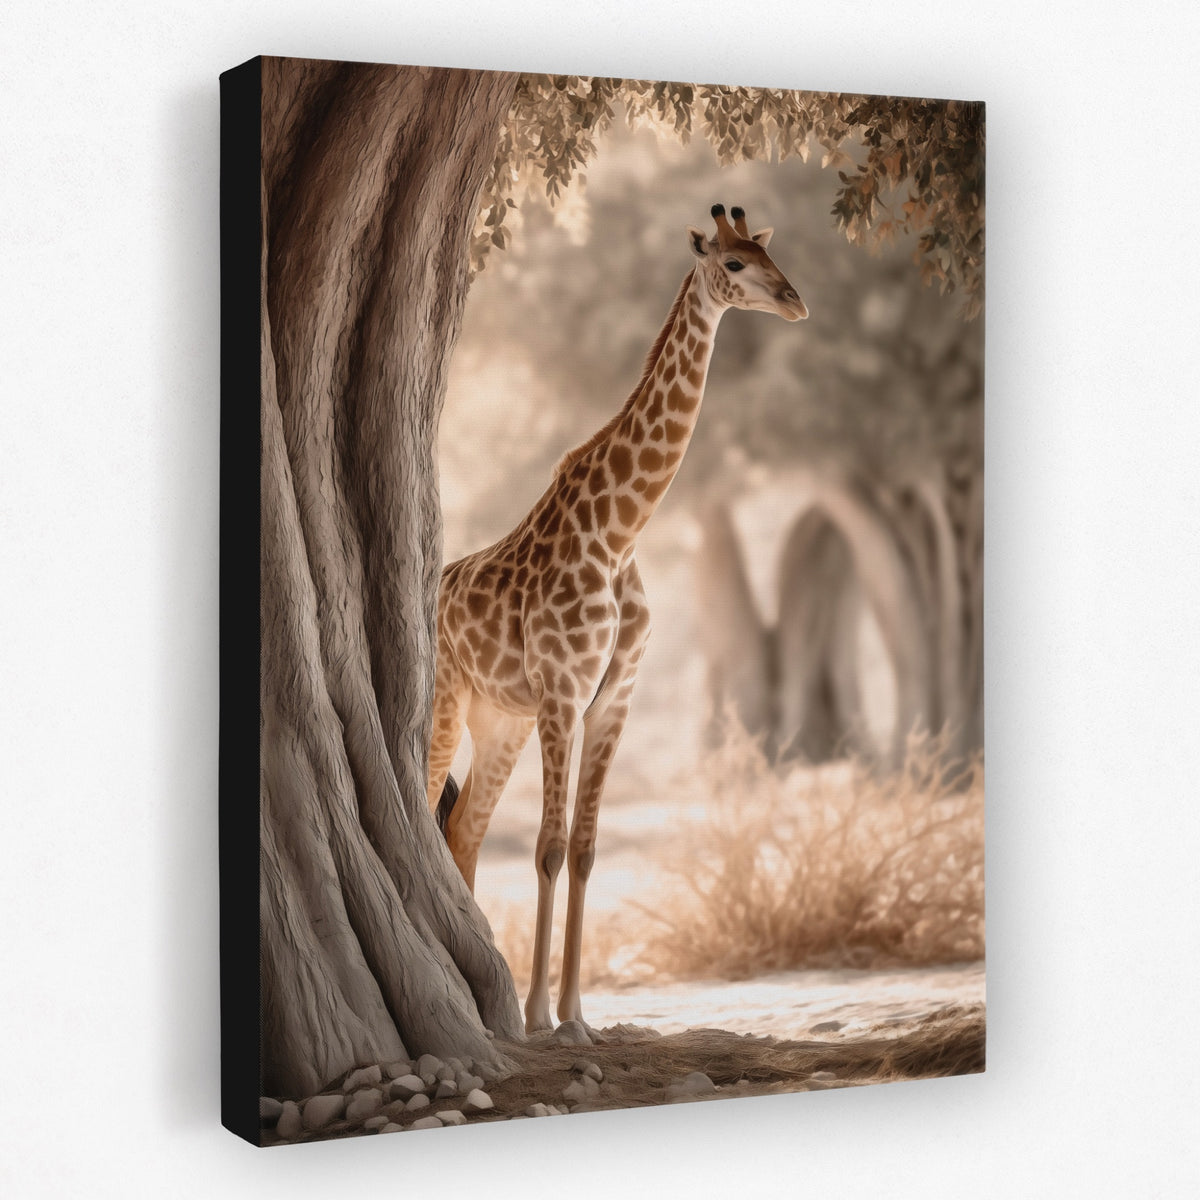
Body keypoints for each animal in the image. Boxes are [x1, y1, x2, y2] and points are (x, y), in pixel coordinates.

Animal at [427, 204, 807, 1036]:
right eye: (733, 263)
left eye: (769, 251)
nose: (797, 301)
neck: (620, 532)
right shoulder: (564, 692)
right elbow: (547, 846)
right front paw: (542, 1014)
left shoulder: (614, 698)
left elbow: (586, 849)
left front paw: (577, 1015)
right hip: (445, 704)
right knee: (432, 809)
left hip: (500, 721)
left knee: (464, 827)